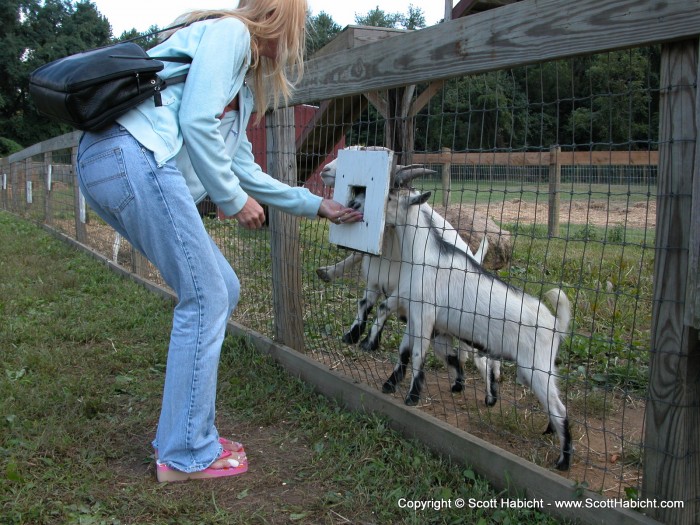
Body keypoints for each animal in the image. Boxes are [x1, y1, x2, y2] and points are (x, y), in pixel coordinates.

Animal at [382, 189, 576, 470]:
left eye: (390, 198)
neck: (424, 255)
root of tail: (554, 325)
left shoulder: (424, 313)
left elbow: (417, 354)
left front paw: (412, 397)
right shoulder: (415, 313)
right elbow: (404, 350)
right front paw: (389, 385)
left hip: (535, 366)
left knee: (560, 409)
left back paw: (563, 461)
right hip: (540, 368)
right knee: (552, 401)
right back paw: (547, 429)